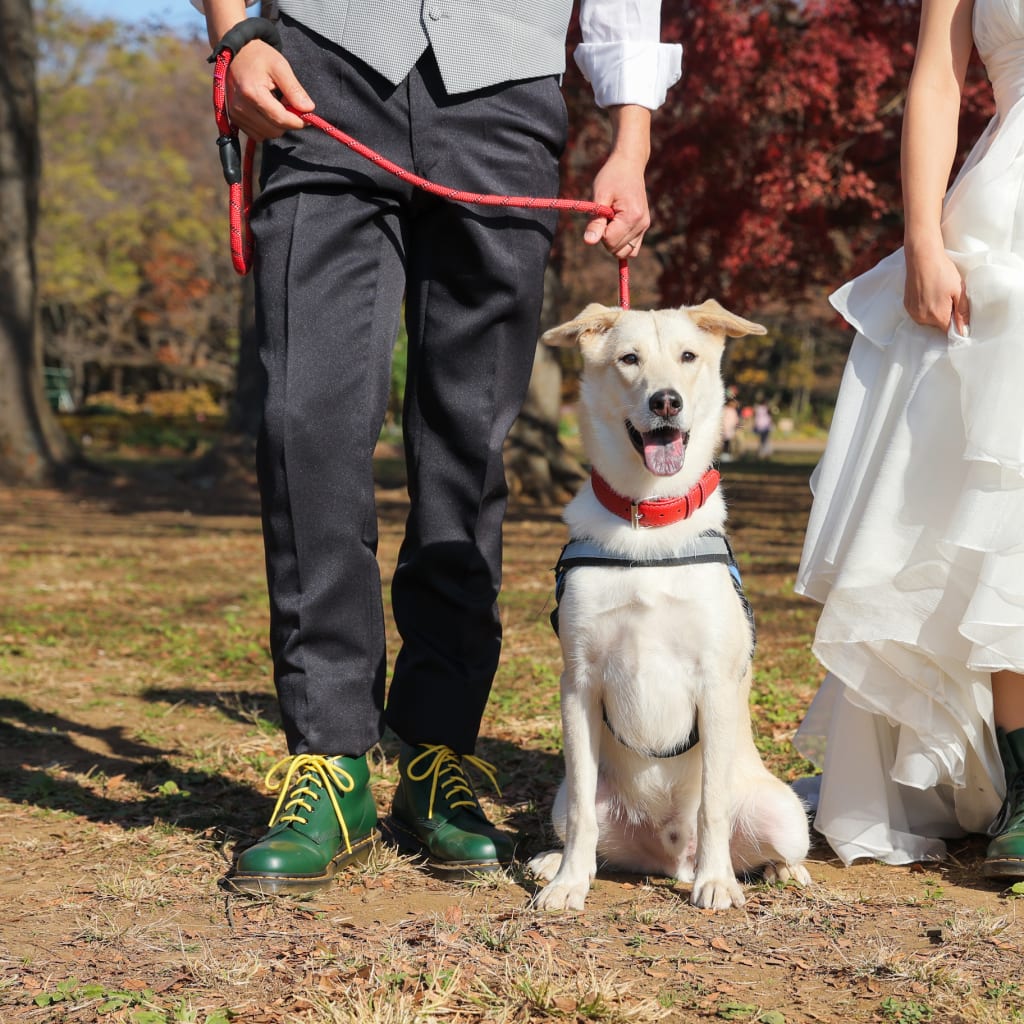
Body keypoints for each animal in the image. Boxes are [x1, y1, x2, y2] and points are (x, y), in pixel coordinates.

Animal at [528, 299, 806, 909]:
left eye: (688, 357)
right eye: (629, 359)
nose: (666, 401)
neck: (648, 518)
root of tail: (668, 859)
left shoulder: (716, 683)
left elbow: (713, 808)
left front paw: (717, 881)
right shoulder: (579, 681)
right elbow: (583, 810)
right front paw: (567, 884)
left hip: (785, 811)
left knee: (765, 844)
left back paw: (774, 871)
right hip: (567, 798)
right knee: (587, 825)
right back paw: (556, 862)